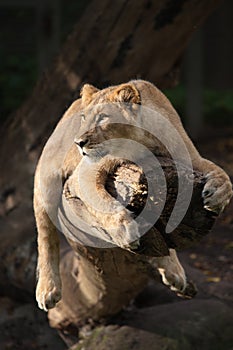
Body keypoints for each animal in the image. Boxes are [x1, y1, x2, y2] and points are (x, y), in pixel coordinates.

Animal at [33, 80, 232, 312]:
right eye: (83, 118)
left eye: (102, 117)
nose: (78, 142)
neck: (145, 143)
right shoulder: (82, 175)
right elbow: (105, 204)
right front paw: (125, 229)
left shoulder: (191, 158)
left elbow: (222, 173)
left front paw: (217, 195)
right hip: (46, 182)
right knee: (45, 235)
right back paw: (48, 289)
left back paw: (174, 271)